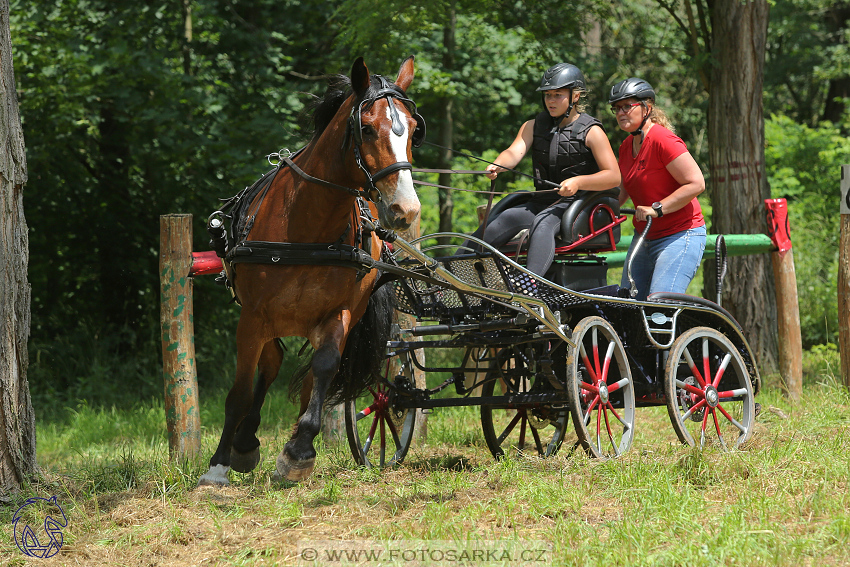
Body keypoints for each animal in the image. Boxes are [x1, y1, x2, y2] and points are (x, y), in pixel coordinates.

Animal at [200, 55, 424, 486]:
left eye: (413, 129)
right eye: (366, 128)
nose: (405, 210)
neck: (309, 226)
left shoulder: (340, 312)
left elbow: (322, 369)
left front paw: (300, 450)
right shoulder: (252, 317)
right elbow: (240, 390)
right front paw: (218, 465)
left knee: (307, 381)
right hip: (268, 320)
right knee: (269, 366)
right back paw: (244, 443)